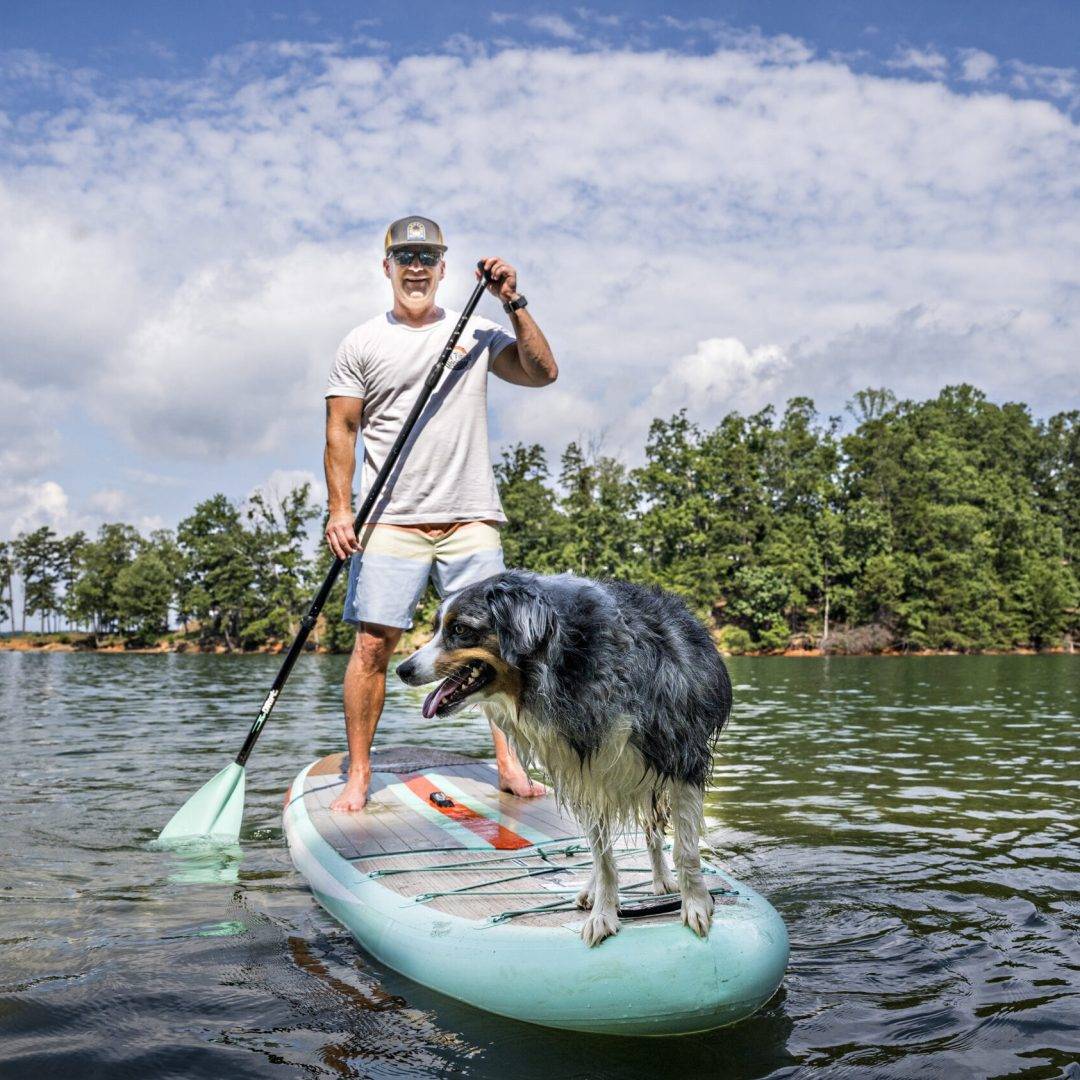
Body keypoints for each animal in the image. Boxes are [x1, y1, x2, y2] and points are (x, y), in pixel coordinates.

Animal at [397, 570, 734, 950]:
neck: (569, 662)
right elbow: (603, 860)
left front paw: (696, 905)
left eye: (460, 630)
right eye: (438, 627)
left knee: (652, 828)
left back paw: (662, 880)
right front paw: (603, 914)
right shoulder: (585, 772)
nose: (402, 669)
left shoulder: (682, 759)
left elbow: (686, 849)